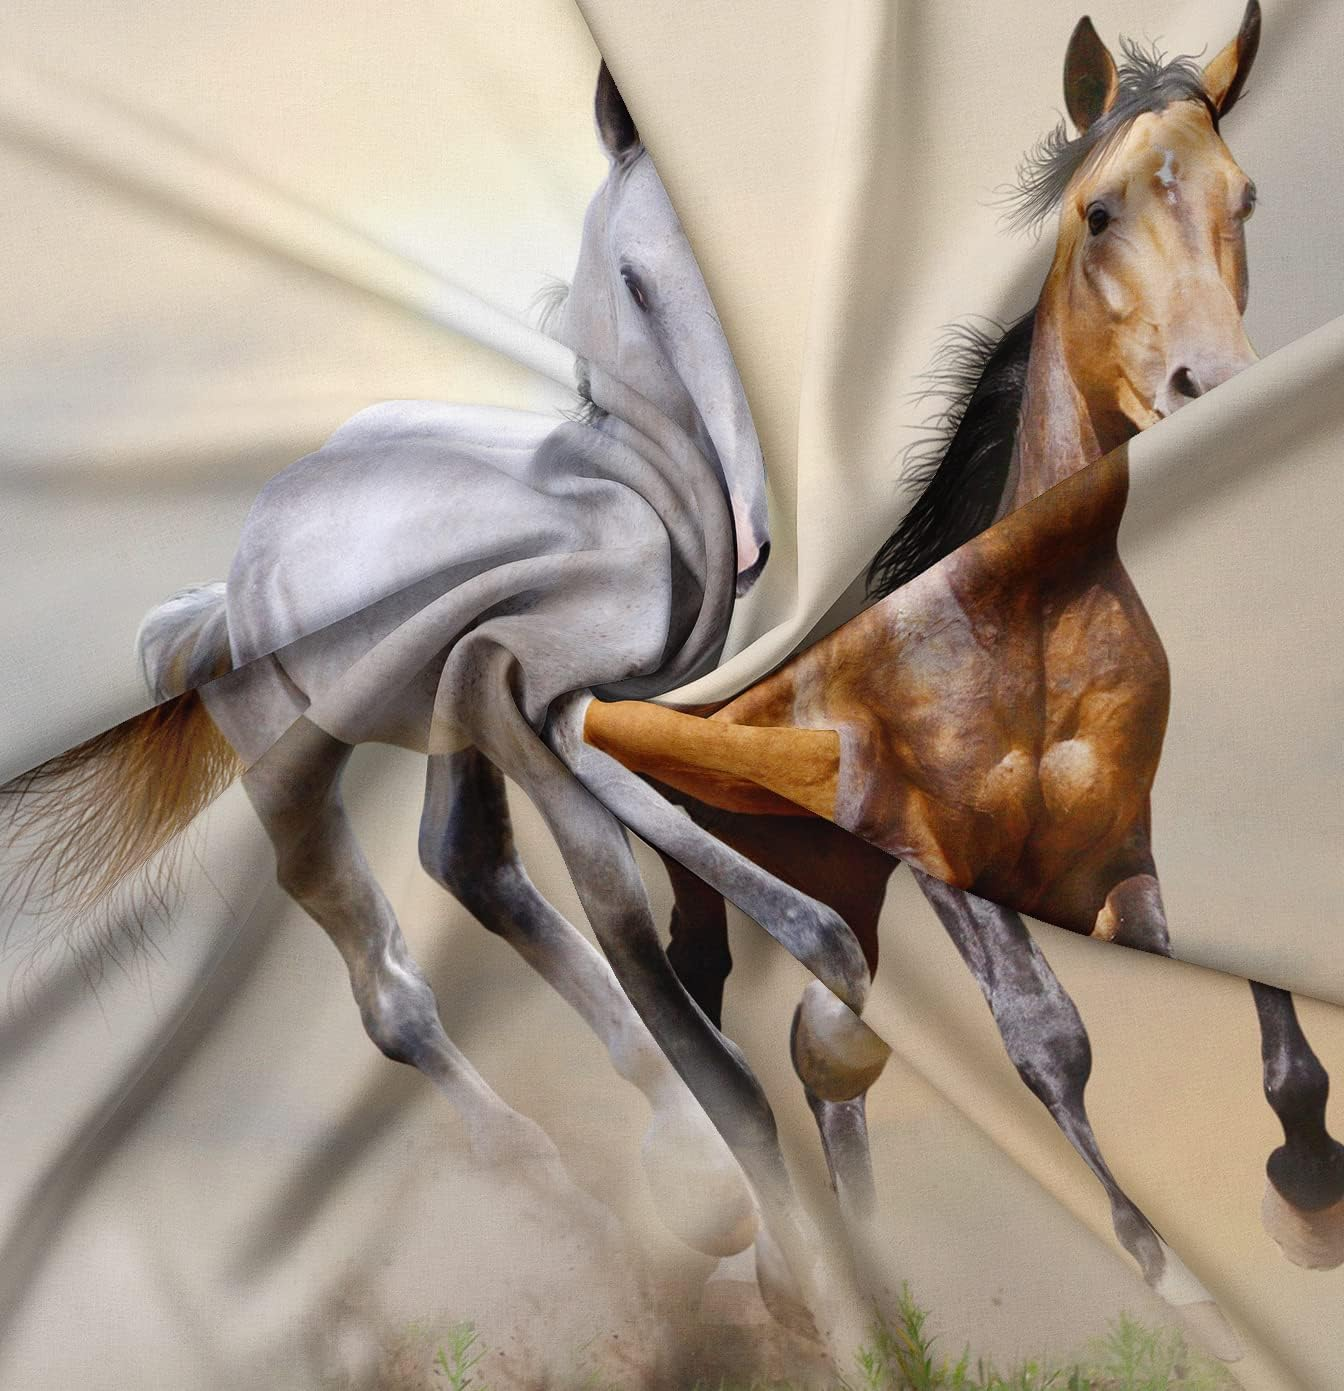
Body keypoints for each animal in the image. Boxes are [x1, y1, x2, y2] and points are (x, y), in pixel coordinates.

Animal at [568, 1, 1342, 1358]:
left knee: (823, 1047)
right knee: (733, 1004)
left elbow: (1263, 1003)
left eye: (1243, 198)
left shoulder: (1120, 848)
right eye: (1099, 212)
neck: (1022, 626)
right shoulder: (946, 858)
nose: (1210, 386)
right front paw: (1176, 1275)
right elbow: (1050, 1040)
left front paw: (1304, 1194)